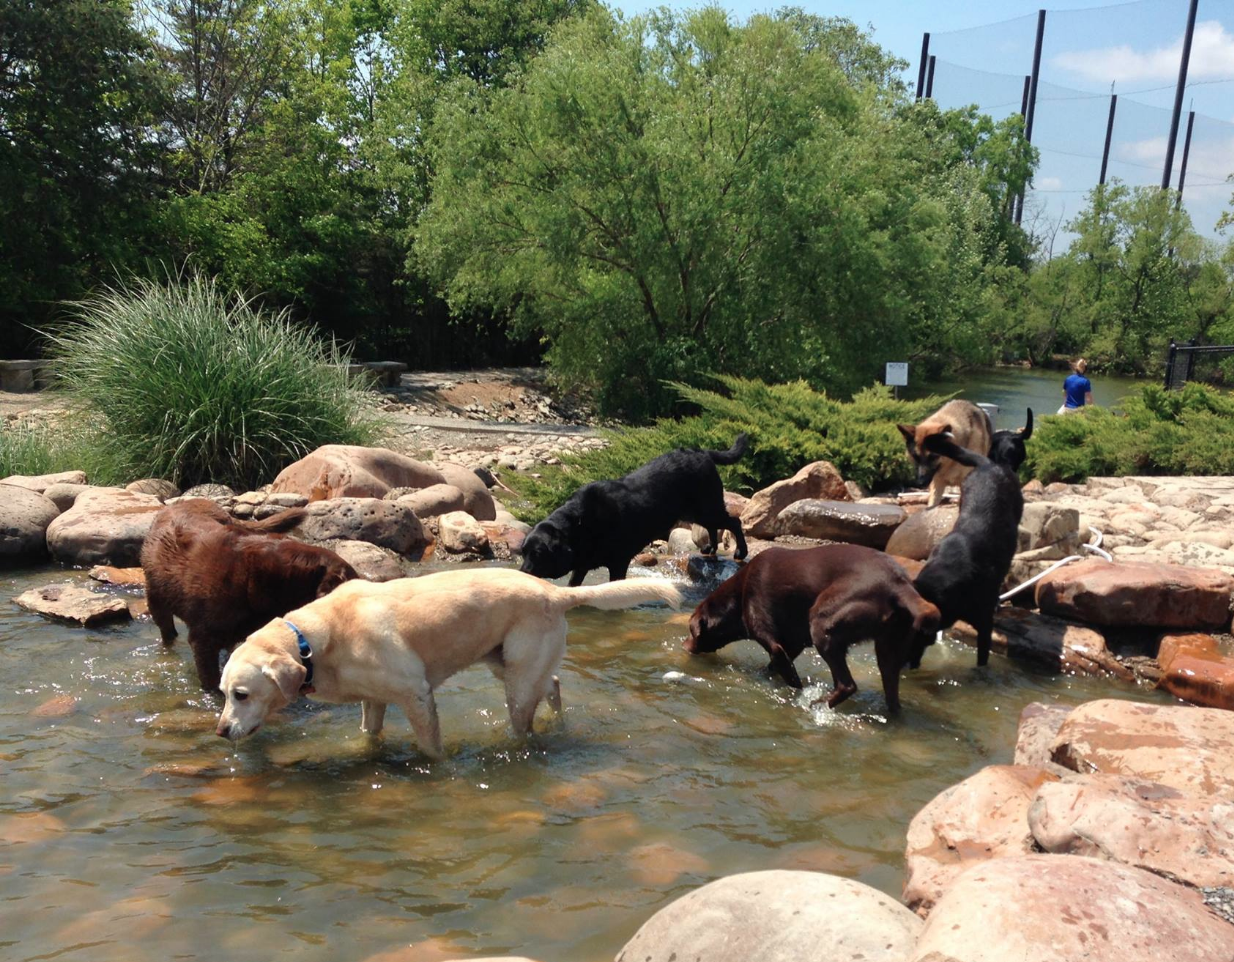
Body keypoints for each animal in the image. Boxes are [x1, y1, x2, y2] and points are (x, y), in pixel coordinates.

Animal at [515, 436, 745, 587]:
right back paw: (710, 549)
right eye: (523, 552)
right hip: (697, 512)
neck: (580, 524)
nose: (521, 572)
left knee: (734, 522)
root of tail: (703, 452)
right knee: (713, 526)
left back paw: (741, 552)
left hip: (707, 508)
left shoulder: (619, 563)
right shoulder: (581, 566)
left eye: (538, 554)